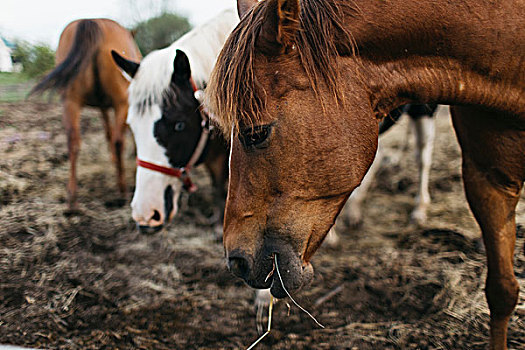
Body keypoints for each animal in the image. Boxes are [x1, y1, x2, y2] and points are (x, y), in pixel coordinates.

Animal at [31, 18, 140, 211]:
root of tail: (92, 21)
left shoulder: (103, 106)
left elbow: (108, 132)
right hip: (120, 102)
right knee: (118, 141)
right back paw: (122, 191)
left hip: (71, 101)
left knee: (73, 142)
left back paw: (72, 199)